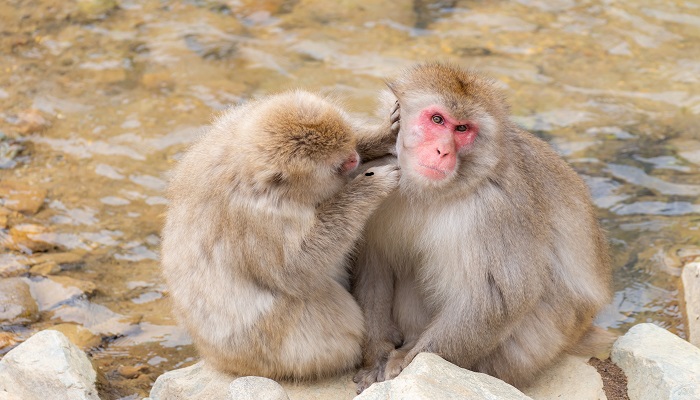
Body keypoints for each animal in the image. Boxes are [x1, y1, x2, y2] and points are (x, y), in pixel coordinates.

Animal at [160, 90, 400, 382]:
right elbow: (295, 270)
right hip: (272, 350)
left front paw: (383, 135)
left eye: (350, 146)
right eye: (340, 166)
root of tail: (217, 359)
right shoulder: (257, 217)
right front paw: (369, 185)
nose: (354, 158)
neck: (244, 165)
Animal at [352, 64, 608, 392]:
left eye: (462, 129)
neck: (431, 191)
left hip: (534, 346)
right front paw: (376, 356)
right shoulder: (376, 174)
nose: (442, 151)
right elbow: (374, 267)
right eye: (437, 120)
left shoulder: (496, 207)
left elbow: (497, 298)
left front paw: (405, 362)